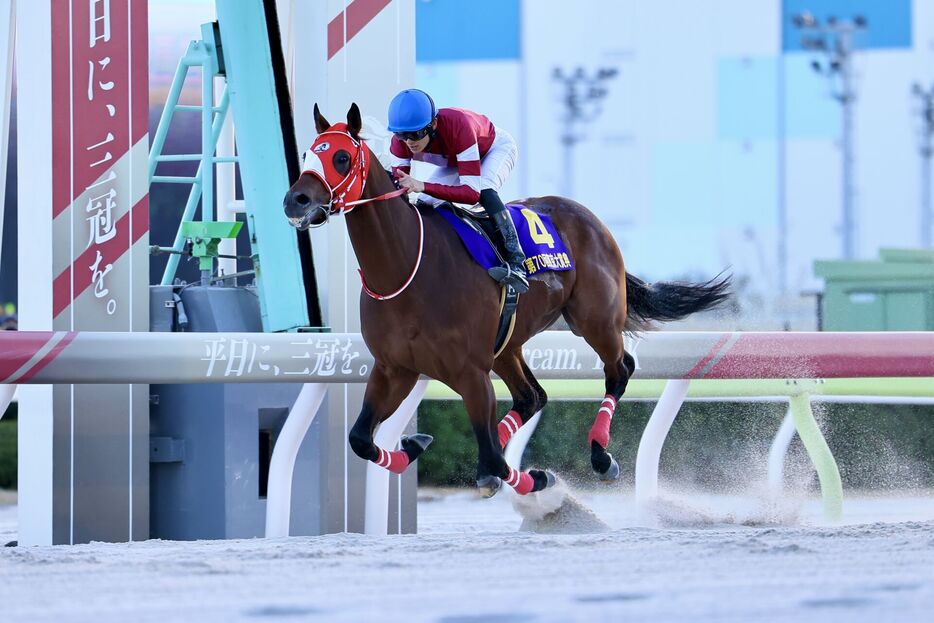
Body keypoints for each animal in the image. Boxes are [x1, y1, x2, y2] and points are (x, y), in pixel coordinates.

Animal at [282, 105, 736, 500]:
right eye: (307, 153)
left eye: (342, 157)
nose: (295, 200)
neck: (406, 267)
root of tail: (590, 219)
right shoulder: (395, 369)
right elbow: (360, 438)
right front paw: (414, 445)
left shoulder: (470, 372)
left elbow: (496, 462)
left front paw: (532, 477)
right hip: (508, 344)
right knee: (532, 396)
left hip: (594, 321)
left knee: (619, 369)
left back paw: (600, 455)